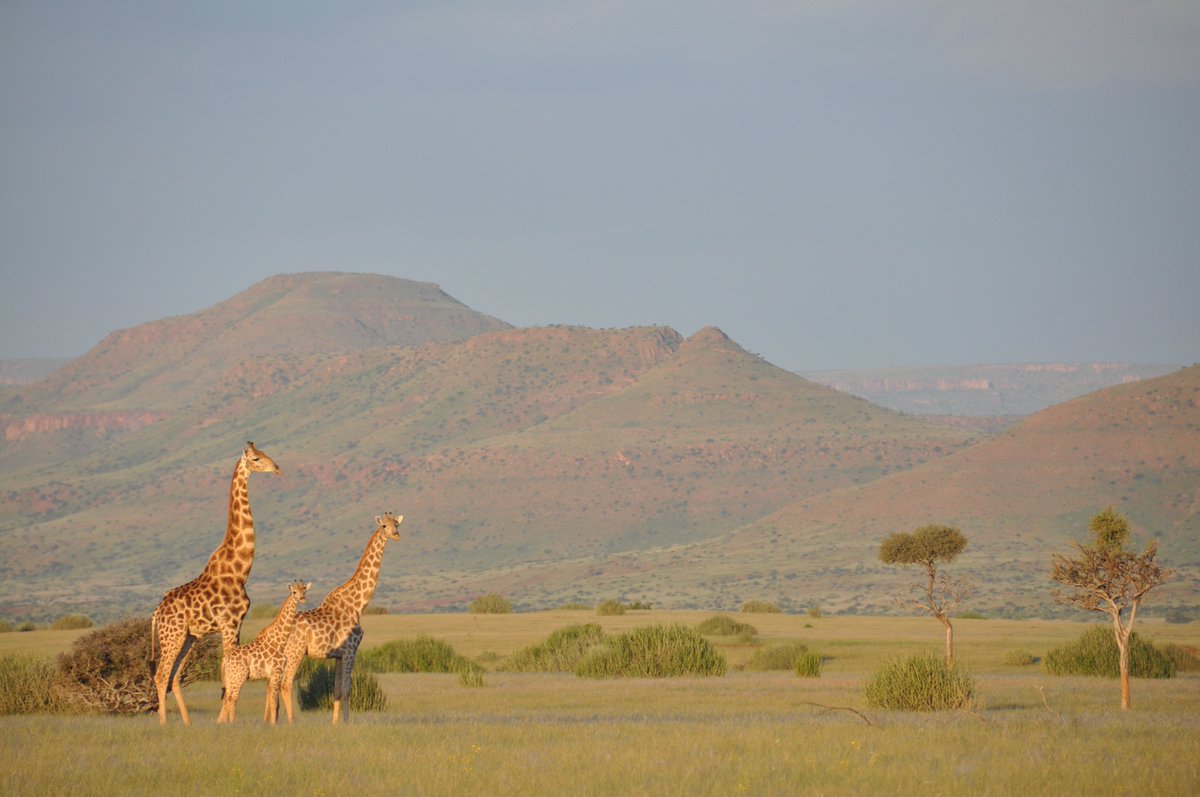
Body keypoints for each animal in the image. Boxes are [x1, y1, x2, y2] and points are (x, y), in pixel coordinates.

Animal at [147, 441, 280, 729]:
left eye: (266, 454)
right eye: (256, 458)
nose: (277, 468)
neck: (240, 570)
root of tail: (156, 613)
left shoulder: (237, 624)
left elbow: (227, 674)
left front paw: (224, 719)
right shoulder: (229, 623)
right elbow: (229, 674)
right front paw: (227, 721)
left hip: (189, 637)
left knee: (174, 677)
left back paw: (187, 723)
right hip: (172, 635)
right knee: (161, 675)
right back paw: (163, 722)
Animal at [217, 578, 309, 720]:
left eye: (304, 590)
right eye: (294, 592)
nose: (303, 598)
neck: (280, 641)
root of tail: (225, 659)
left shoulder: (271, 676)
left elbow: (272, 702)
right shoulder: (277, 672)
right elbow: (274, 702)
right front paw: (274, 723)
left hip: (230, 677)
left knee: (227, 698)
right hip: (239, 676)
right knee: (232, 698)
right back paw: (233, 723)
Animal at [280, 513, 408, 724]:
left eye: (397, 524)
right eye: (384, 525)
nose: (396, 535)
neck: (358, 605)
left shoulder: (338, 655)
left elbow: (337, 691)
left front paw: (335, 724)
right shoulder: (350, 650)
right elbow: (348, 690)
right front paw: (347, 723)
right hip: (295, 652)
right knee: (285, 683)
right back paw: (290, 722)